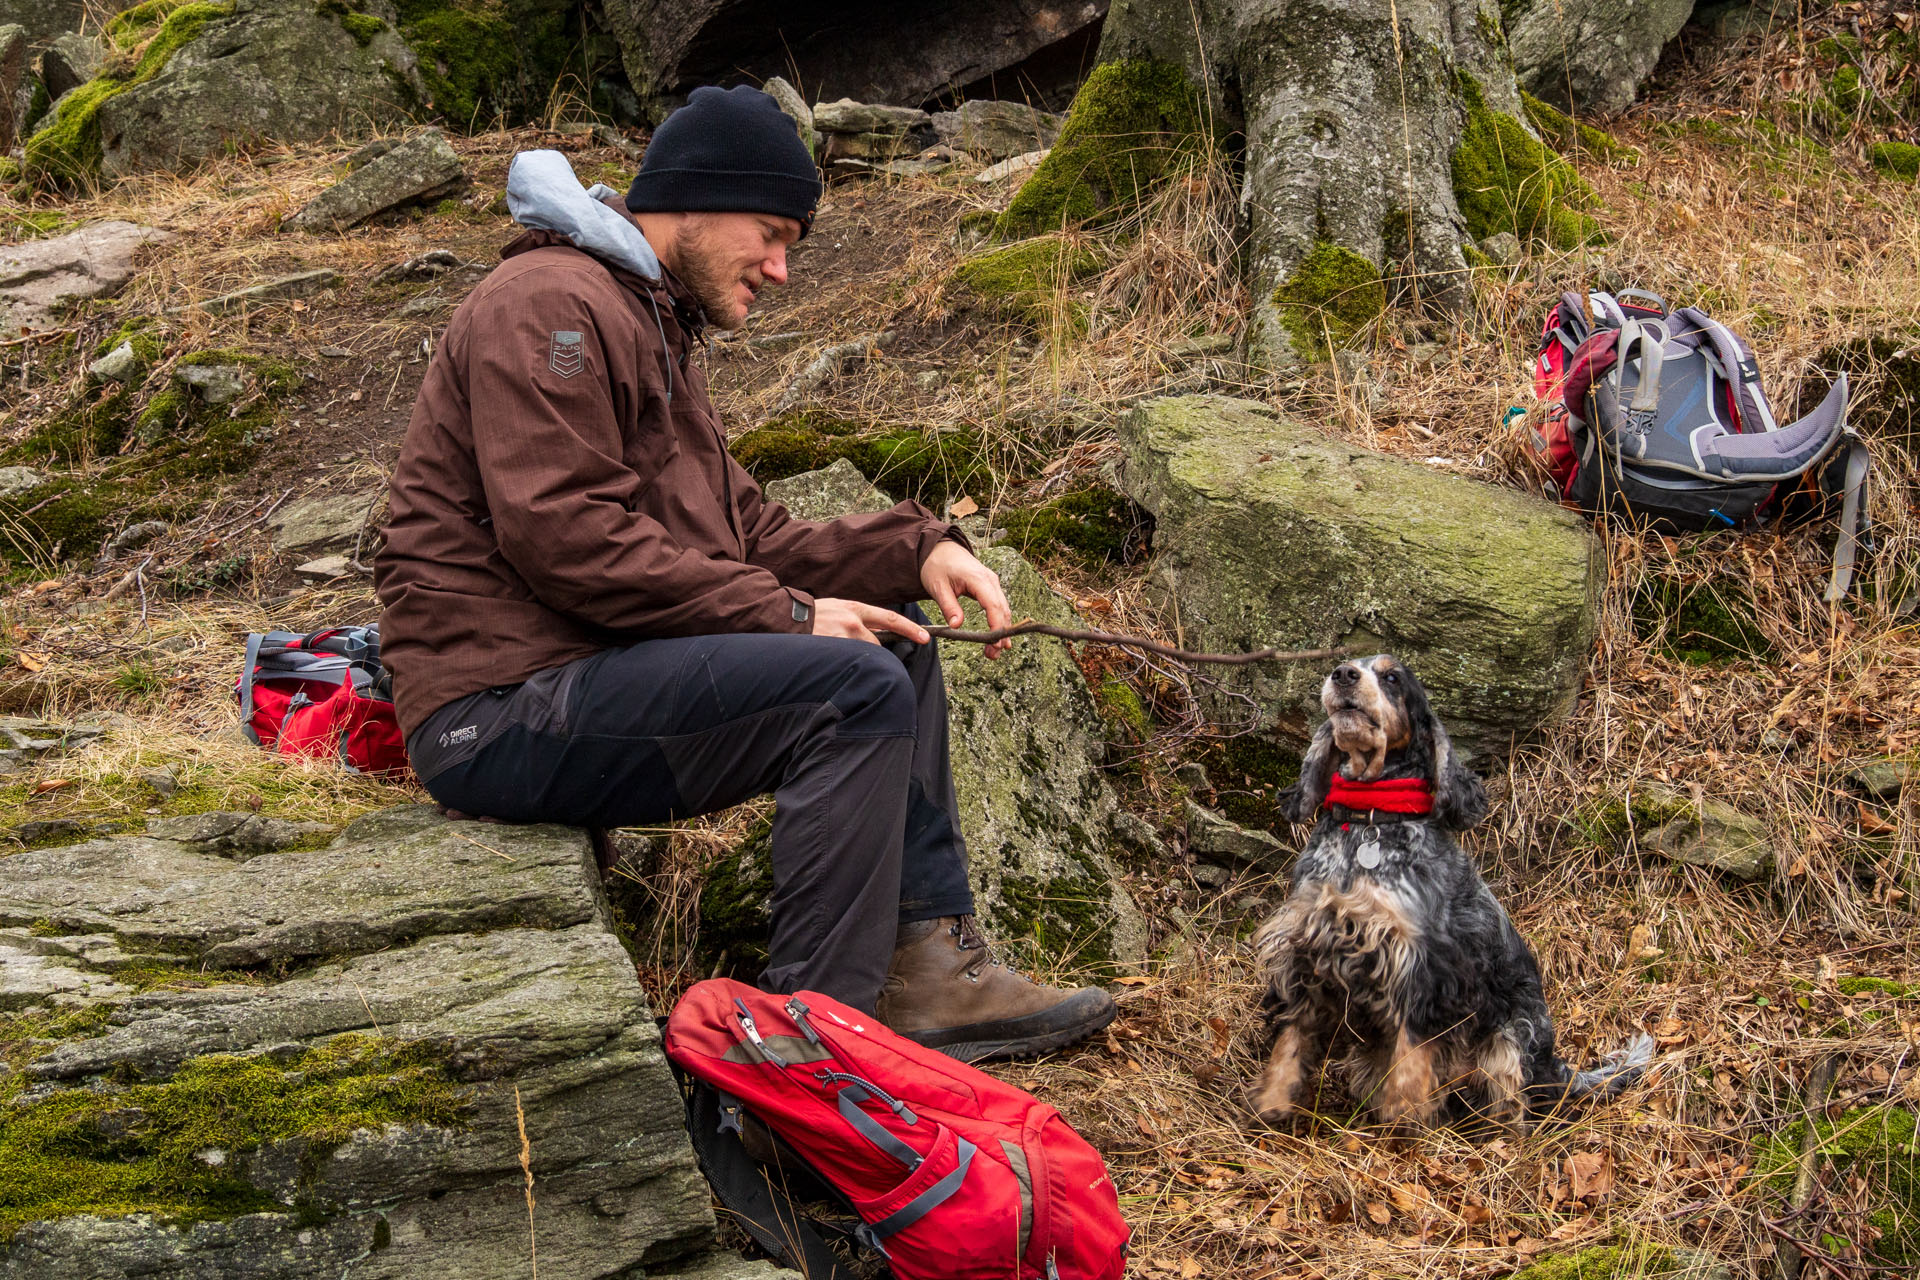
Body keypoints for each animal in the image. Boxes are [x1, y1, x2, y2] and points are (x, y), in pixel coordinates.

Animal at [1251, 660, 1643, 1128]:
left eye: (1392, 678)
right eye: (1350, 665)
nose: (1342, 674)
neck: (1369, 823)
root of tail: (1556, 1067)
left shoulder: (1424, 968)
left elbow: (1411, 1059)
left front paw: (1403, 1122)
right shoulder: (1309, 947)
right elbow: (1290, 1042)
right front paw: (1271, 1104)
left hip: (1512, 1039)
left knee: (1512, 1106)